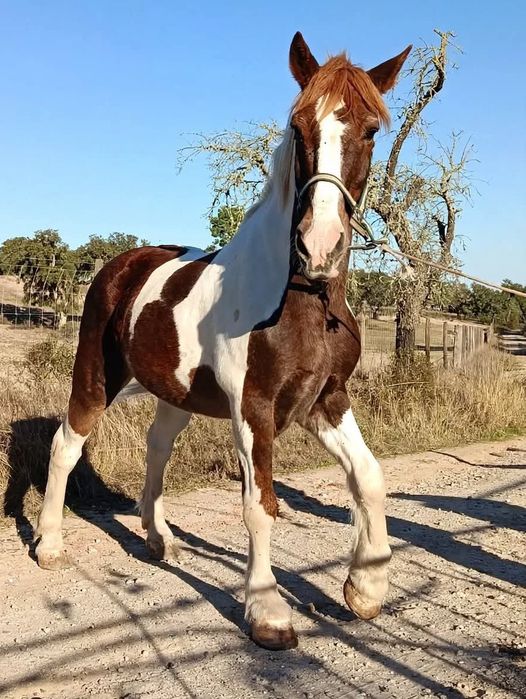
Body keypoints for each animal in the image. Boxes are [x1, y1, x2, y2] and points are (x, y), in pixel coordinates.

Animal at [35, 32, 411, 650]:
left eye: (371, 130)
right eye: (299, 126)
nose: (319, 244)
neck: (301, 297)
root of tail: (123, 263)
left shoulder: (325, 400)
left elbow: (370, 479)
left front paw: (366, 587)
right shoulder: (252, 408)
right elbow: (259, 504)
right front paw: (268, 612)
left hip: (174, 394)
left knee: (157, 447)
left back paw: (158, 539)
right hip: (95, 376)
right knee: (66, 444)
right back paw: (48, 545)